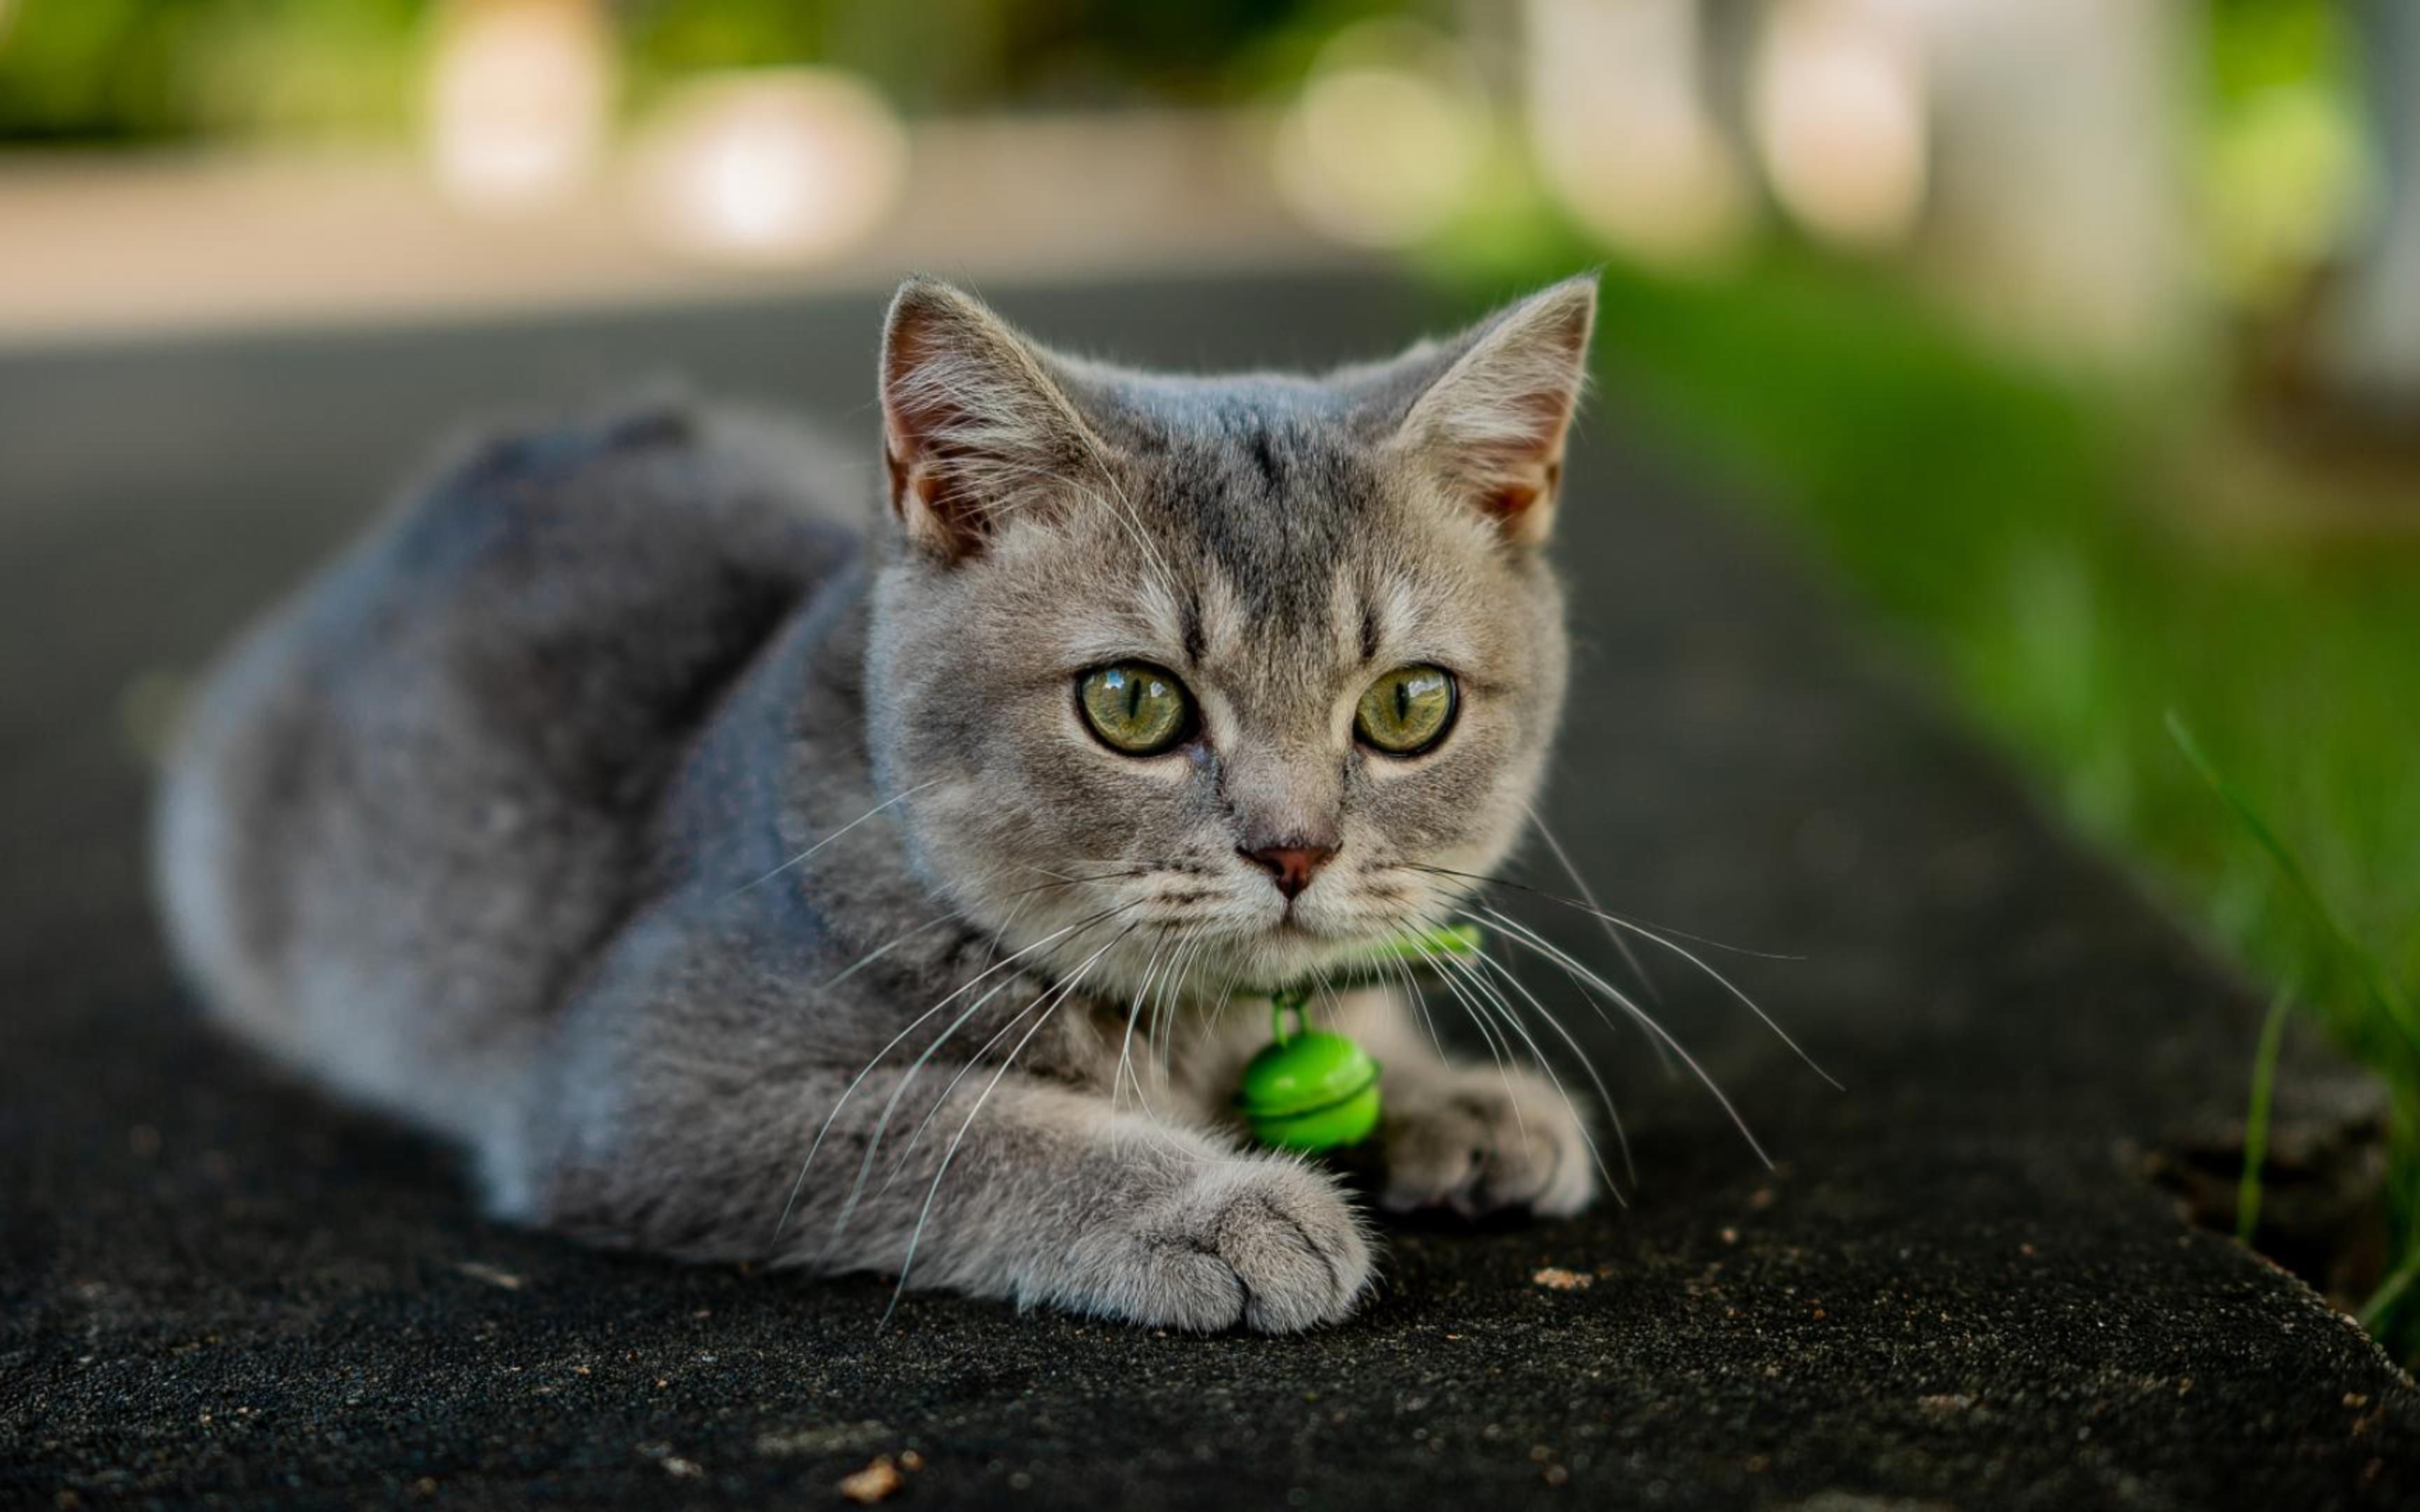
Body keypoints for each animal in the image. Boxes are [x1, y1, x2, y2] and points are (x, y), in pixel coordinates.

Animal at [160, 274, 1616, 1335]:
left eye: (1409, 707)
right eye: (1131, 703)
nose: (1296, 849)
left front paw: (1456, 1099)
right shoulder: (648, 1090)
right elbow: (971, 1126)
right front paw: (1215, 1208)